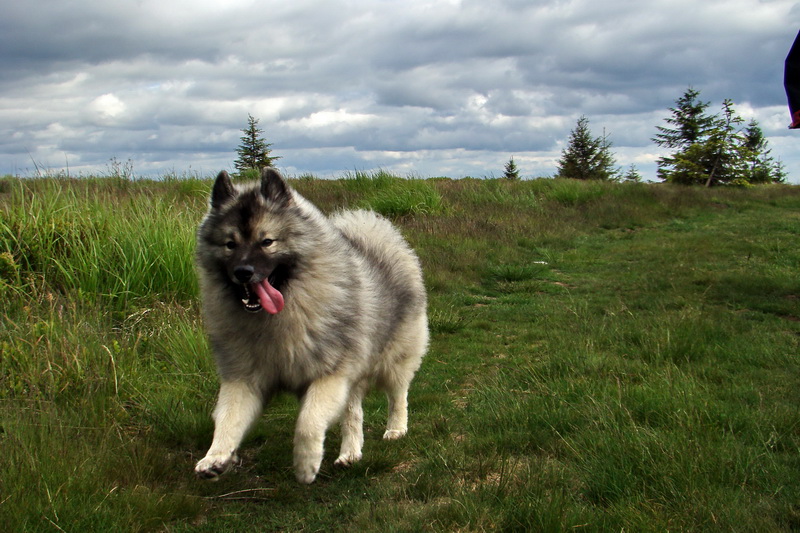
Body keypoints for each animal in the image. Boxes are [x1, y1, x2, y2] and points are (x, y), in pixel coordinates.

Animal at [194, 168, 428, 484]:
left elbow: (308, 421)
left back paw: (396, 429)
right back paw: (350, 453)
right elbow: (227, 420)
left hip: (395, 359)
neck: (276, 319)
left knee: (398, 395)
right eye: (230, 244)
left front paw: (306, 465)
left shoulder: (331, 375)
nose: (243, 272)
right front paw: (215, 457)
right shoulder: (243, 379)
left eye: (267, 241)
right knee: (353, 413)